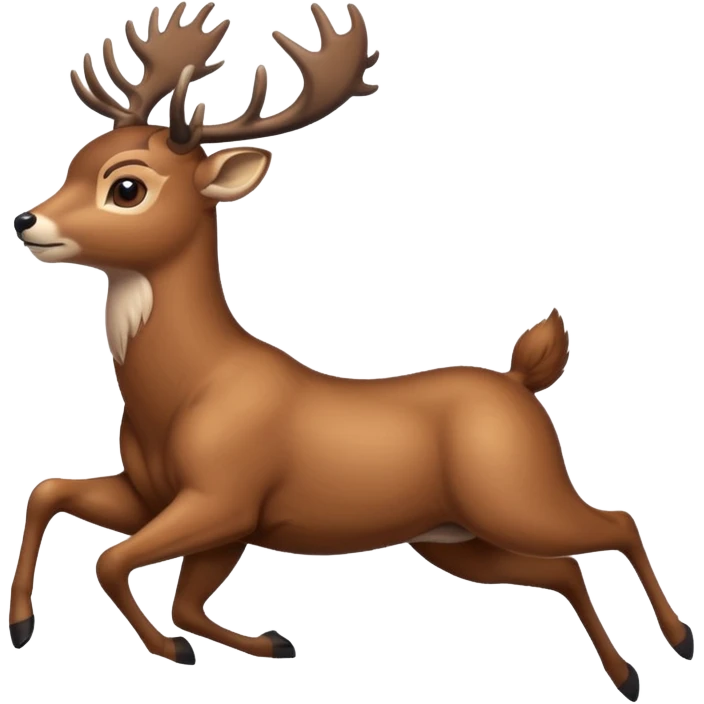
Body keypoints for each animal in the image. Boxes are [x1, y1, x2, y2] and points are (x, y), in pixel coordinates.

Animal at [9, 1, 693, 697]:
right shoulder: (163, 501)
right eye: (75, 160)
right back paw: (627, 672)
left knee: (617, 521)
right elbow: (57, 499)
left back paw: (678, 639)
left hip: (518, 493)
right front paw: (24, 624)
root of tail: (520, 382)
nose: (27, 221)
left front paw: (173, 648)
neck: (187, 387)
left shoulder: (224, 498)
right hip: (456, 537)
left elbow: (117, 565)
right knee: (564, 568)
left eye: (127, 188)